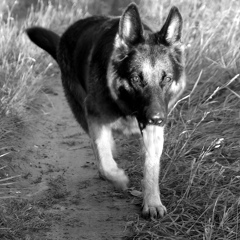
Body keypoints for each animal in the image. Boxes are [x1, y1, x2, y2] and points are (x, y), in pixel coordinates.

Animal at [26, 2, 188, 219]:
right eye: (136, 79)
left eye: (167, 79)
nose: (157, 119)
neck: (127, 107)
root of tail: (66, 35)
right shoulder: (95, 116)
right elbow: (104, 159)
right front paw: (118, 178)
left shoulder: (152, 130)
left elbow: (151, 167)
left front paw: (152, 202)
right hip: (81, 111)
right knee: (99, 146)